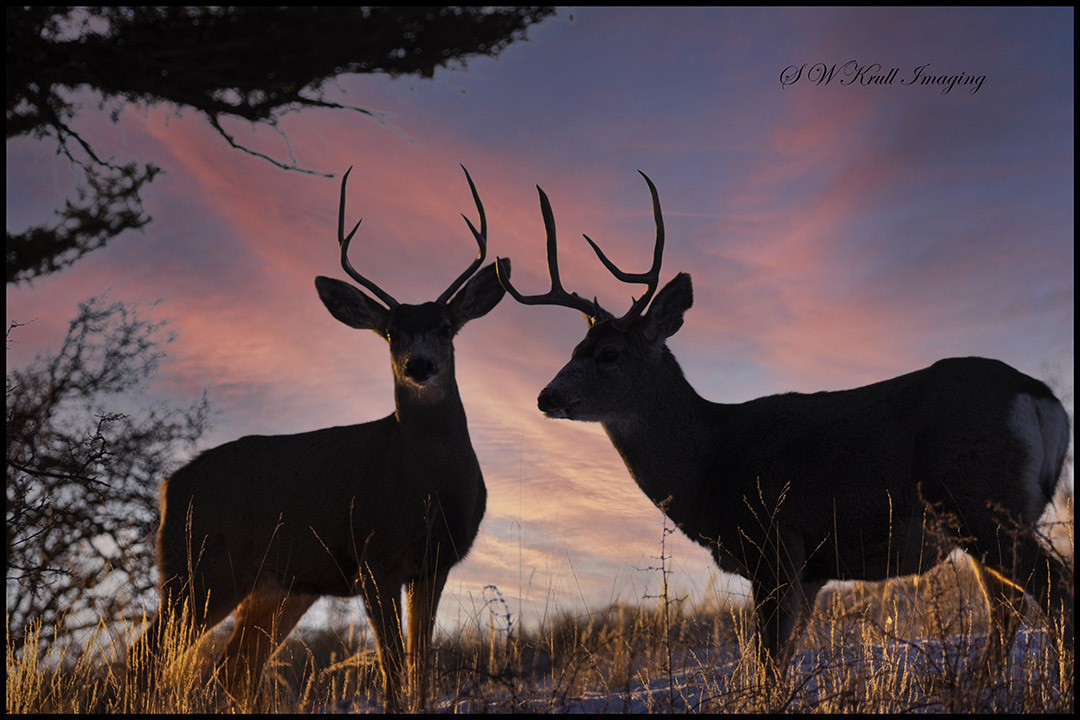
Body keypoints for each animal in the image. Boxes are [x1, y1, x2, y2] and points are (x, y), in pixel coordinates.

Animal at [134, 166, 508, 711]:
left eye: (445, 327)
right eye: (392, 333)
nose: (419, 365)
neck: (423, 485)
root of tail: (167, 489)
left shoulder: (432, 565)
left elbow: (421, 666)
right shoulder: (374, 556)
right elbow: (393, 667)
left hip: (278, 585)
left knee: (234, 667)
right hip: (199, 569)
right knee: (149, 656)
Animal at [494, 172, 1072, 678]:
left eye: (609, 354)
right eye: (575, 348)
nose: (547, 396)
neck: (706, 461)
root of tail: (1040, 395)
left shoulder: (773, 541)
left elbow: (768, 663)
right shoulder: (810, 569)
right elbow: (782, 657)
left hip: (979, 500)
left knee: (1053, 591)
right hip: (990, 516)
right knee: (1008, 606)